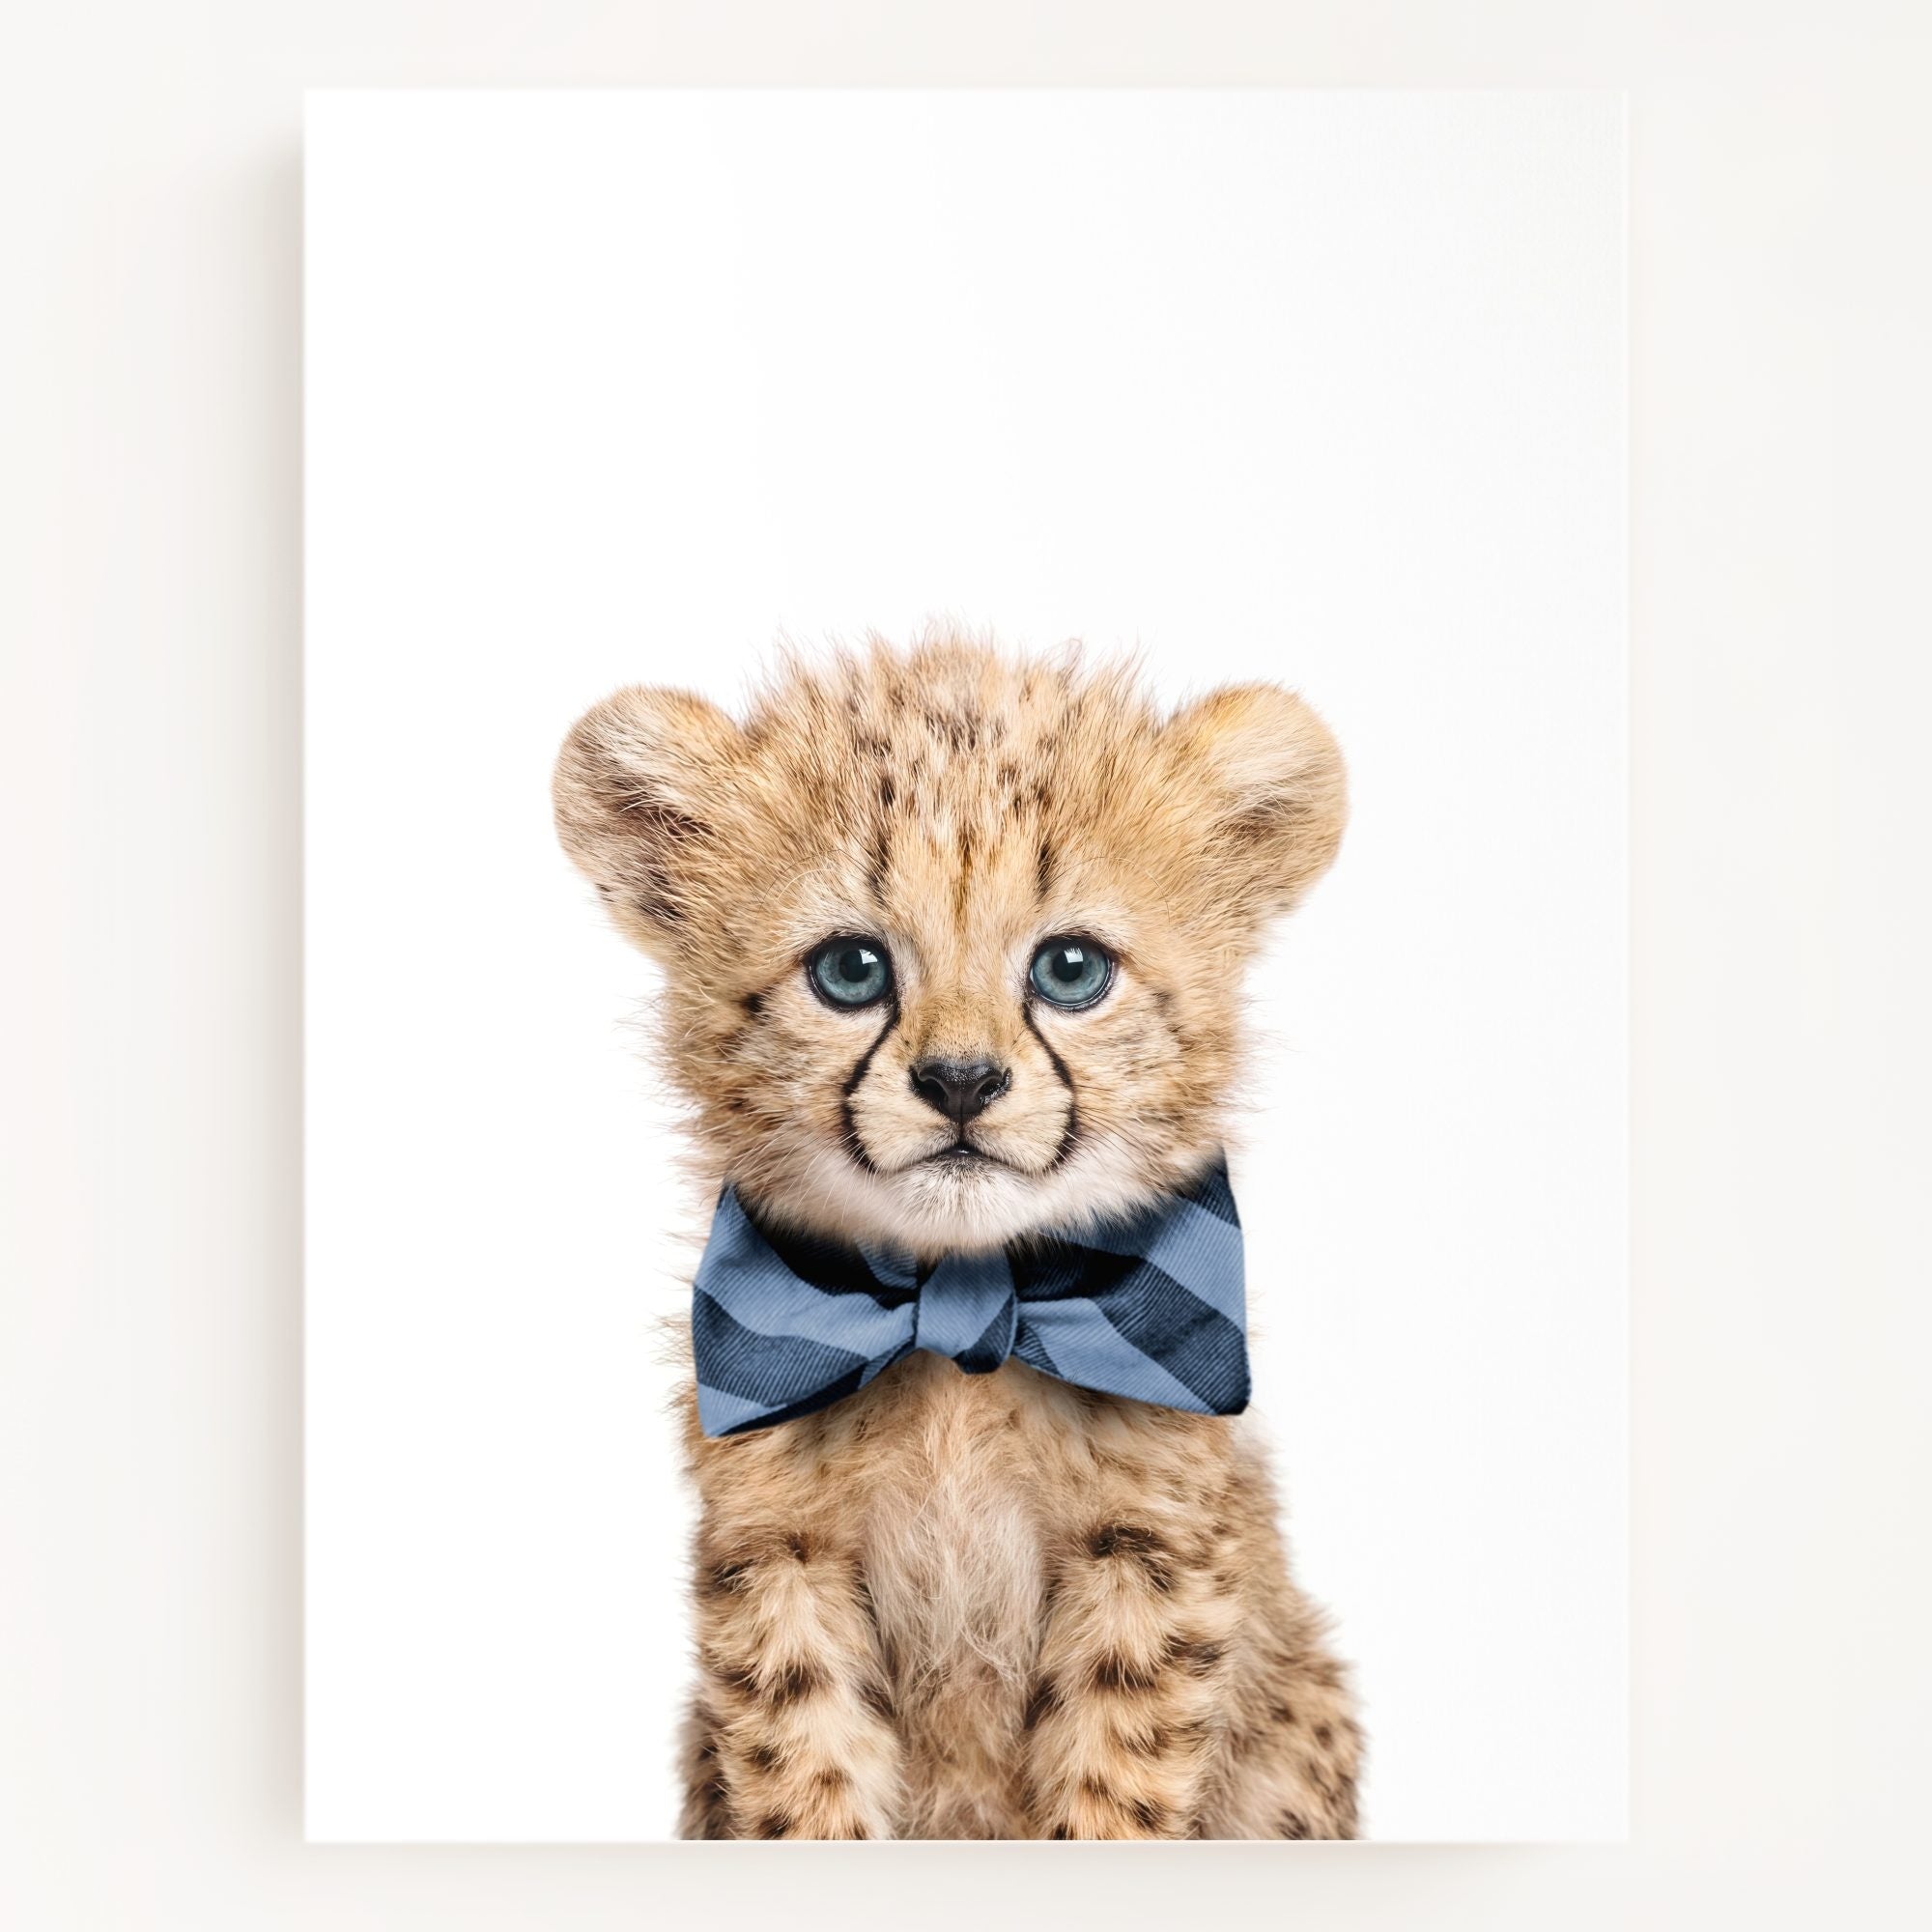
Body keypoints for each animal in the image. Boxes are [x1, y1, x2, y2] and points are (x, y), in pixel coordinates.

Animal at [552, 630, 1362, 1839]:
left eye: (1070, 969)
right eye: (850, 969)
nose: (961, 1080)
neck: (962, 1314)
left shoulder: (1147, 1552)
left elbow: (1115, 1781)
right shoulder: (778, 1555)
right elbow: (805, 1776)